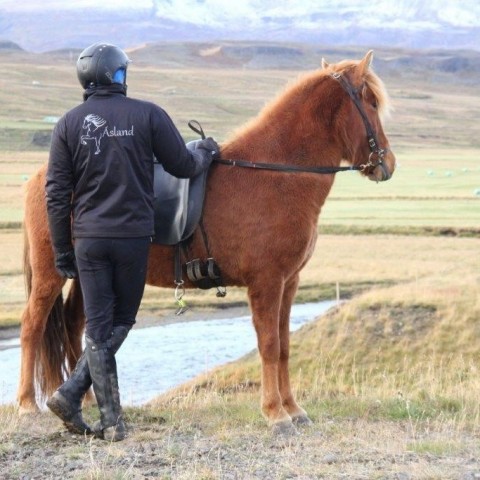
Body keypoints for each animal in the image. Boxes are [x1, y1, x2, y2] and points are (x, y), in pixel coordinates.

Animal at [16, 50, 396, 434]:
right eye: (372, 103)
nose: (388, 164)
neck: (275, 174)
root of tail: (43, 176)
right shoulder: (267, 284)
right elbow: (269, 345)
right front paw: (275, 413)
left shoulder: (289, 283)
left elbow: (285, 346)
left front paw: (293, 408)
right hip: (52, 274)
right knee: (33, 324)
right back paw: (27, 404)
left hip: (84, 275)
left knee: (78, 326)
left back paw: (85, 400)